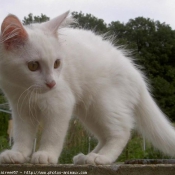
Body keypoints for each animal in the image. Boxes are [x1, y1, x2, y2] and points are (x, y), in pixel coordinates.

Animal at [0, 11, 175, 165]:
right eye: (33, 66)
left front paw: (46, 154)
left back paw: (102, 157)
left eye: (57, 63)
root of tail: (136, 75)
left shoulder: (60, 104)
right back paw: (88, 156)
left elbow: (53, 134)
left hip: (104, 104)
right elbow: (22, 135)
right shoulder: (20, 109)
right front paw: (18, 153)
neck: (25, 89)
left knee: (122, 132)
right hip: (89, 112)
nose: (52, 83)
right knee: (105, 136)